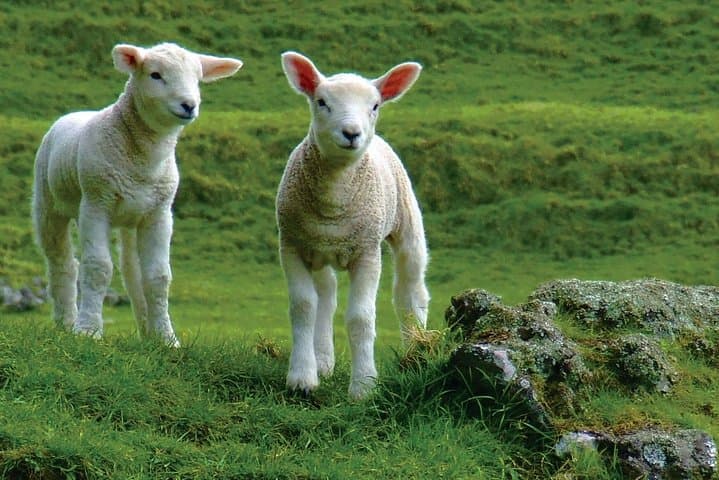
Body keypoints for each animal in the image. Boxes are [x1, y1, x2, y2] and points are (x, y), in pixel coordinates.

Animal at [32, 42, 242, 346]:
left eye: (198, 78)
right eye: (155, 75)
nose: (189, 105)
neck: (144, 161)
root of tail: (74, 114)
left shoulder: (159, 214)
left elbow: (157, 277)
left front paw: (166, 339)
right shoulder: (95, 204)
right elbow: (97, 268)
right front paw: (89, 331)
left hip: (132, 218)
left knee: (132, 272)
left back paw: (146, 331)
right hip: (48, 205)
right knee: (62, 263)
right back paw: (66, 323)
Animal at [276, 51, 430, 399]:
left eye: (374, 106)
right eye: (321, 102)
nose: (351, 133)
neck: (334, 203)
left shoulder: (367, 251)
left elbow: (361, 318)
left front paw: (364, 386)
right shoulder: (292, 244)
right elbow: (303, 307)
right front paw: (302, 377)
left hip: (407, 223)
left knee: (410, 292)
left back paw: (416, 351)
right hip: (319, 250)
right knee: (326, 296)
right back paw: (322, 360)